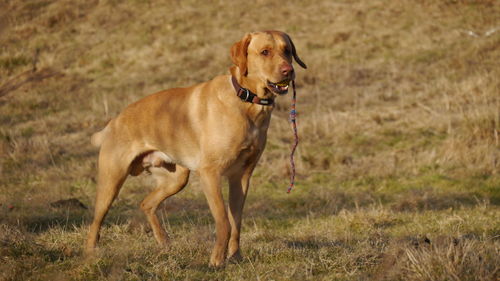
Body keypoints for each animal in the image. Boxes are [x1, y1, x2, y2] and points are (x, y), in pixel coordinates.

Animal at [84, 30, 306, 264]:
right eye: (265, 52)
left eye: (287, 51)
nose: (288, 71)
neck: (246, 102)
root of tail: (113, 122)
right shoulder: (210, 173)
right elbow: (224, 222)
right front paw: (216, 261)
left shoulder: (241, 176)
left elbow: (236, 222)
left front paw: (236, 257)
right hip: (112, 181)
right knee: (96, 221)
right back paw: (90, 252)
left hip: (176, 179)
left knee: (147, 204)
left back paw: (164, 241)